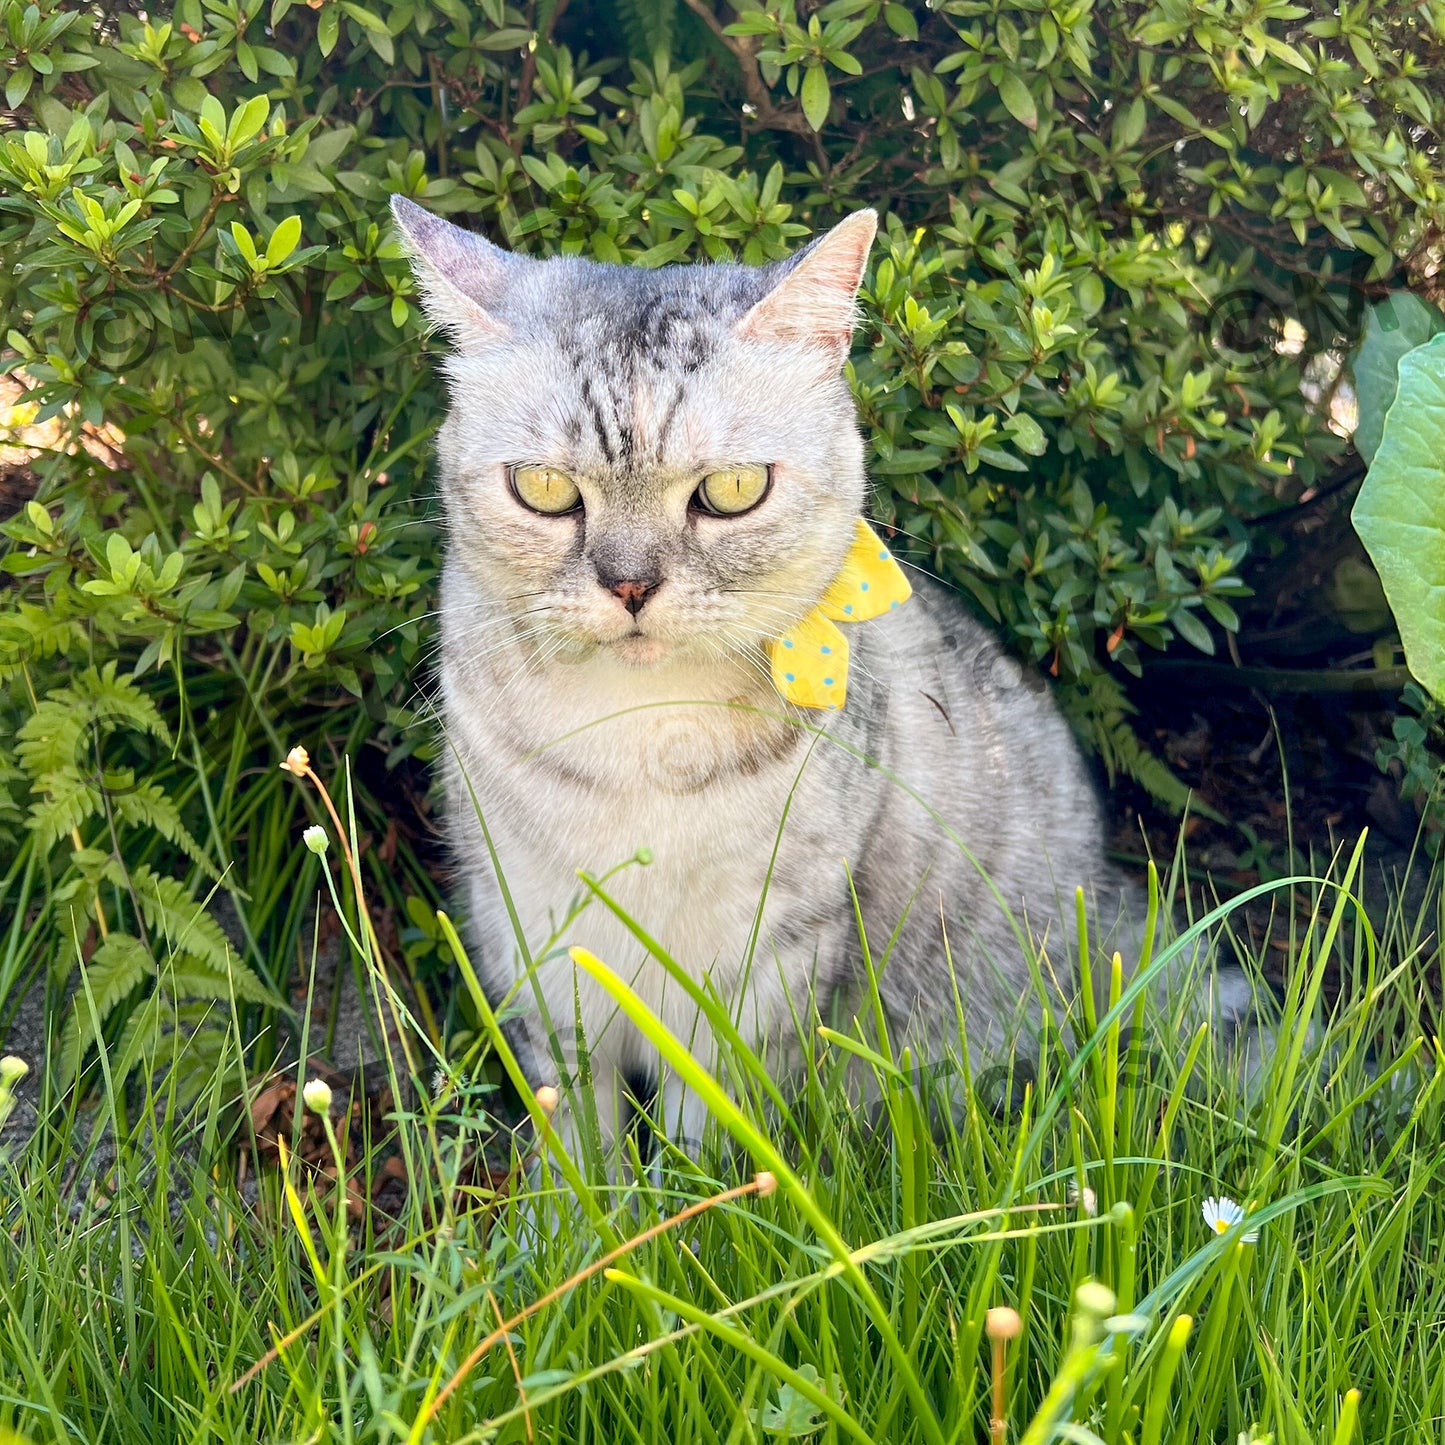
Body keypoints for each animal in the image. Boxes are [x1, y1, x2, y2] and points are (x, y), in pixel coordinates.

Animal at [390, 197, 1260, 1156]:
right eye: (543, 488)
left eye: (732, 489)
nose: (629, 585)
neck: (641, 733)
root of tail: (1110, 912)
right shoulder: (538, 949)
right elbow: (580, 1144)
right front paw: (590, 1199)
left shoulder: (760, 965)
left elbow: (712, 1141)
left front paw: (701, 1195)